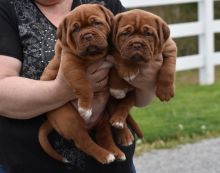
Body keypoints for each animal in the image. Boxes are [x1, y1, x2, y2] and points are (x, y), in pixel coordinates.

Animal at [39, 3, 126, 164]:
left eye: (97, 23)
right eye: (75, 29)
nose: (87, 36)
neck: (94, 56)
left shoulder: (112, 52)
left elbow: (118, 65)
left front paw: (118, 88)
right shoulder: (71, 64)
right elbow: (83, 84)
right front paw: (85, 107)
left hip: (103, 118)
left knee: (104, 136)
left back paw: (116, 152)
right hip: (68, 119)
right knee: (83, 142)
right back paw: (105, 155)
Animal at [108, 9, 177, 137]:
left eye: (148, 34)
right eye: (125, 34)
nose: (136, 44)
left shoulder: (170, 47)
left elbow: (168, 69)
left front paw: (165, 91)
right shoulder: (113, 48)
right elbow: (119, 55)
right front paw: (128, 69)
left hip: (131, 96)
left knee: (124, 105)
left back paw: (118, 120)